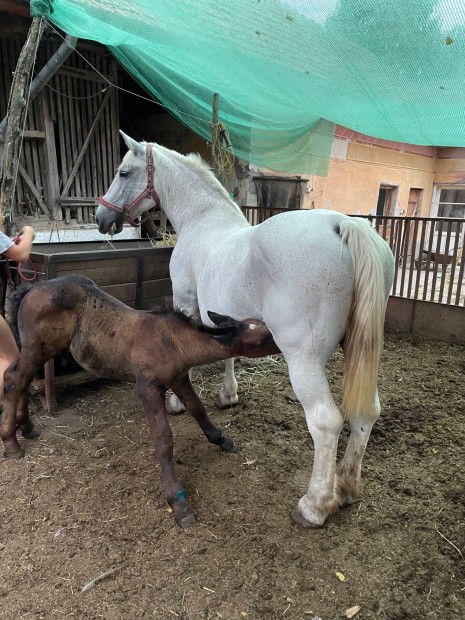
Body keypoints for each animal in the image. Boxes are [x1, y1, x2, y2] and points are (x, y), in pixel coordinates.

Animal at [96, 132, 394, 528]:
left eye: (123, 172)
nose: (101, 217)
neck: (202, 219)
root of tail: (346, 226)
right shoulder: (224, 315)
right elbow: (227, 354)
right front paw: (228, 395)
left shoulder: (185, 301)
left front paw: (176, 401)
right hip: (359, 351)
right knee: (367, 413)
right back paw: (346, 487)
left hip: (304, 361)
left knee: (326, 422)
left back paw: (314, 505)